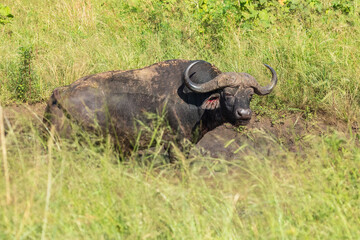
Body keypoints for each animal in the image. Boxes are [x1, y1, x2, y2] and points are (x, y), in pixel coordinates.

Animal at [43, 58, 278, 151]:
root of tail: (62, 93)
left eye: (250, 95)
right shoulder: (177, 147)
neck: (196, 101)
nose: (244, 114)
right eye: (227, 94)